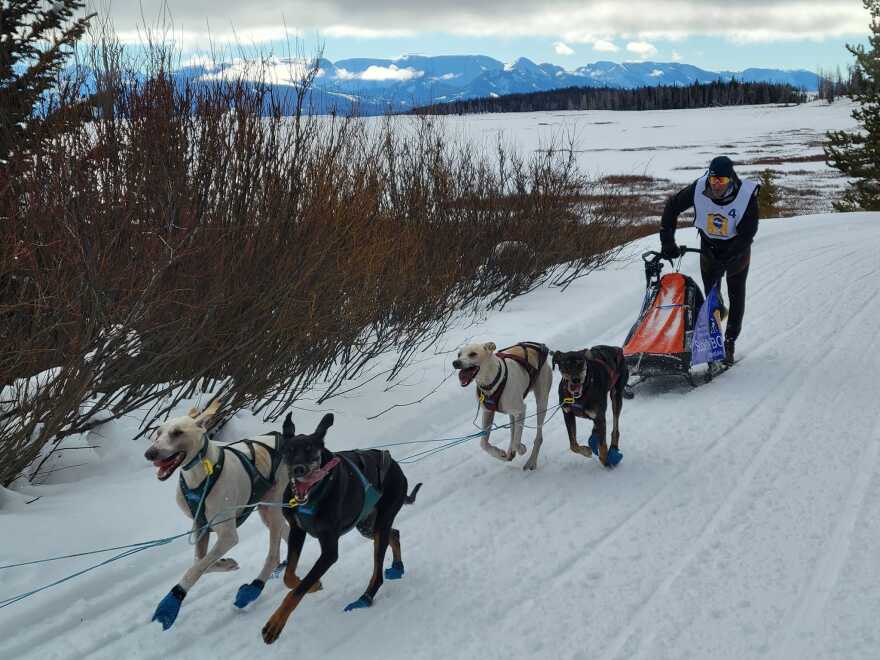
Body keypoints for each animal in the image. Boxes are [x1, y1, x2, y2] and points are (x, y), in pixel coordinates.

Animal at [145, 402, 320, 628]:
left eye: (177, 432)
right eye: (158, 432)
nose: (149, 453)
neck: (202, 475)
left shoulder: (228, 535)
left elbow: (196, 568)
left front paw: (172, 601)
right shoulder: (200, 526)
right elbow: (201, 561)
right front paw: (225, 563)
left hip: (273, 508)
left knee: (273, 554)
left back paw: (254, 588)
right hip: (266, 511)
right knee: (286, 533)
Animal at [260, 412, 422, 644]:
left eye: (310, 449)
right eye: (289, 450)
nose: (299, 469)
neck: (315, 495)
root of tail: (395, 465)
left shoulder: (329, 552)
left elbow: (295, 591)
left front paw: (275, 624)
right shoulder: (297, 531)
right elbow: (289, 578)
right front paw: (314, 585)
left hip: (381, 521)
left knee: (378, 571)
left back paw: (364, 599)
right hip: (367, 525)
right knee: (394, 533)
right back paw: (397, 567)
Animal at [454, 340, 552, 470]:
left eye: (473, 354)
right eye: (459, 354)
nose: (455, 363)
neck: (492, 381)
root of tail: (537, 346)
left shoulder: (521, 410)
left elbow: (517, 442)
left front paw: (521, 449)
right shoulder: (488, 412)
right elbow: (483, 443)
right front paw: (499, 453)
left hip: (541, 402)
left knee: (538, 437)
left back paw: (531, 461)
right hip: (512, 413)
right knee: (513, 433)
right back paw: (510, 451)